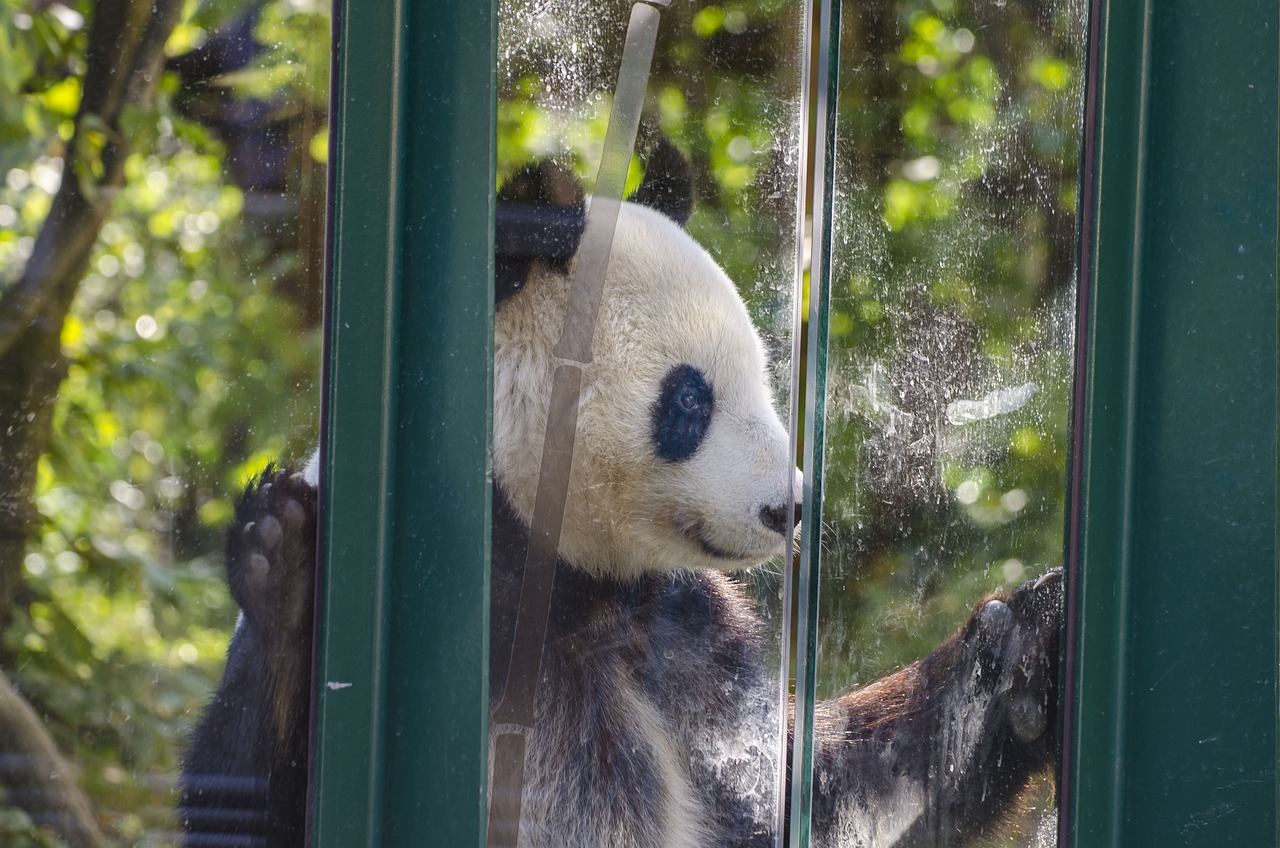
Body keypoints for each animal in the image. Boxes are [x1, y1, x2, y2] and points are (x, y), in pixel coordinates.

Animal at [177, 142, 1059, 845]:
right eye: (690, 402)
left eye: (764, 377)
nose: (790, 507)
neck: (560, 571)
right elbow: (246, 803)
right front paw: (285, 567)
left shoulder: (684, 629)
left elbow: (829, 790)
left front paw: (1022, 647)